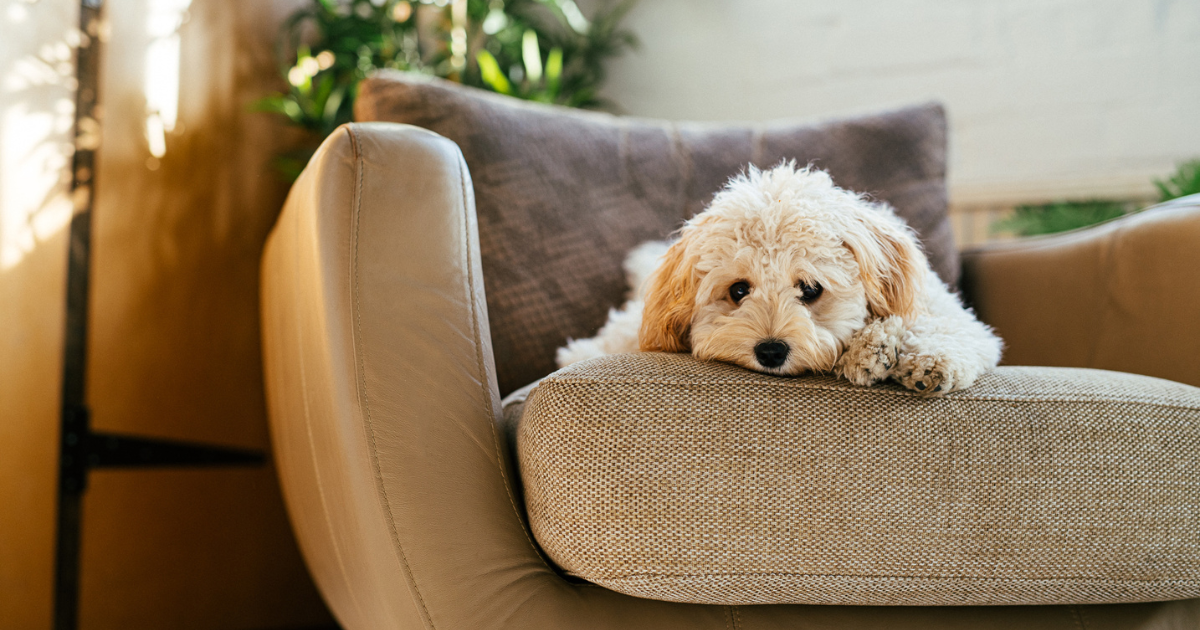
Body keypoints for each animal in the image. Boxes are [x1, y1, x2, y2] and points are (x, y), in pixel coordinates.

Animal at [559, 162, 1003, 393]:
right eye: (739, 290)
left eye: (810, 289)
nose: (771, 351)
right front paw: (875, 351)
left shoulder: (945, 311)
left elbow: (946, 330)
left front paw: (915, 356)